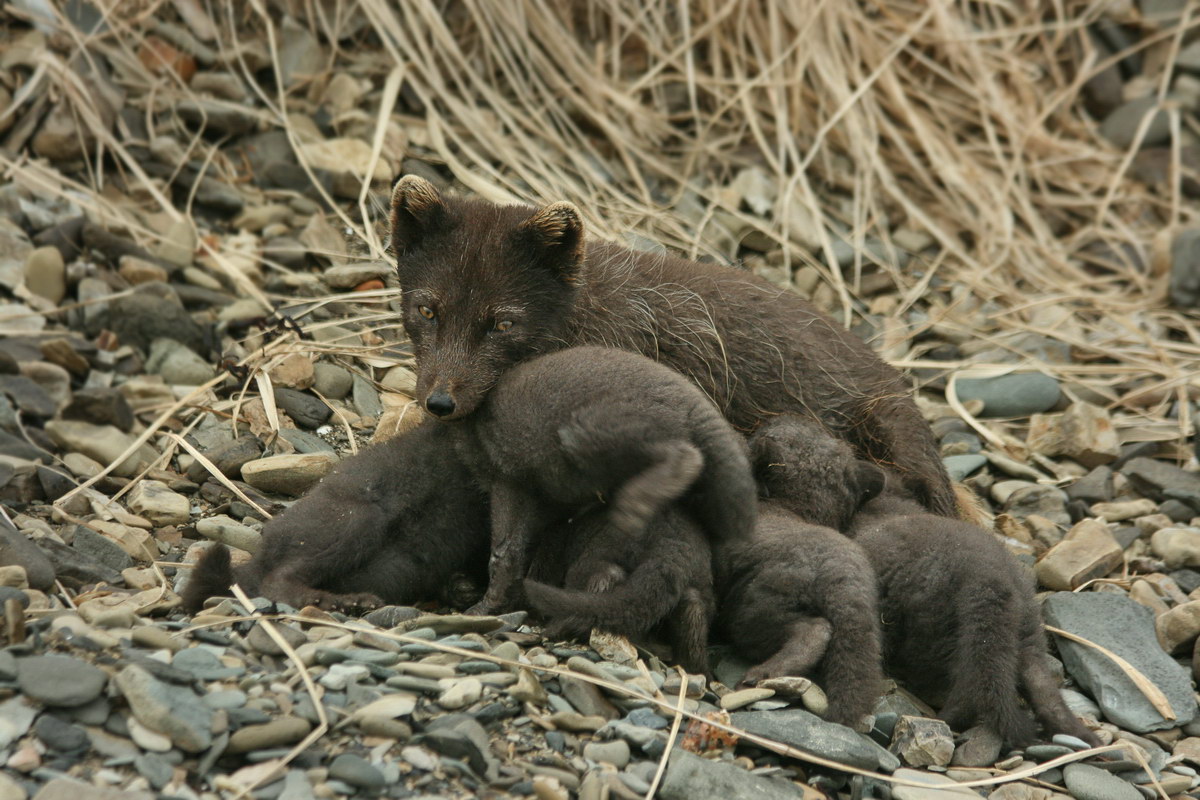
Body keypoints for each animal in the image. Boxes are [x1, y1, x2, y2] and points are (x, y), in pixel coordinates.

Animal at [446, 345, 753, 614]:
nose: (439, 403)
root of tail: (699, 405)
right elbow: (529, 550)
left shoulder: (507, 481)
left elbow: (503, 552)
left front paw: (487, 607)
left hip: (582, 430)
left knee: (685, 455)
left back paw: (634, 505)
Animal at [753, 417, 1099, 748]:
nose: (774, 421)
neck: (887, 505)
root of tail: (992, 579)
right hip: (1027, 636)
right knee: (1042, 688)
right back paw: (1079, 734)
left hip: (937, 630)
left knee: (967, 687)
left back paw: (944, 719)